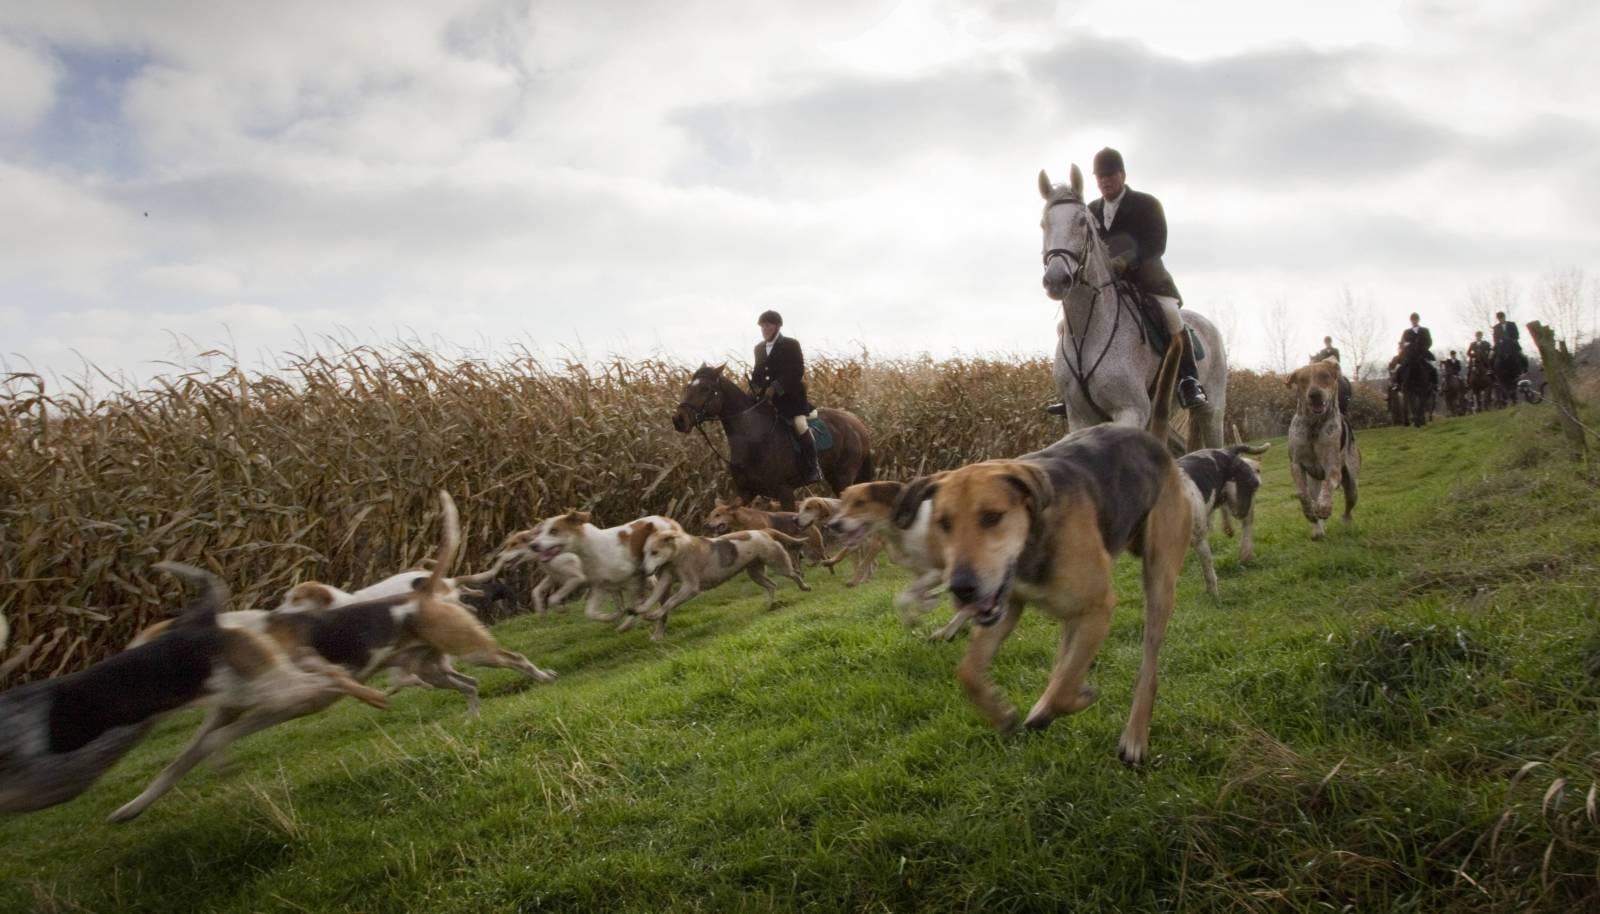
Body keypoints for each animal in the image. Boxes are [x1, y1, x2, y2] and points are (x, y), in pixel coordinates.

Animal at [672, 363, 876, 509]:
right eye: (688, 387)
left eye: (705, 388)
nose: (678, 419)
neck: (754, 439)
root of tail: (858, 424)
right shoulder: (745, 492)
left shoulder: (784, 492)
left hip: (843, 478)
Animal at [1036, 166, 1222, 451]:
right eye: (1043, 224)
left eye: (1082, 222)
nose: (1056, 280)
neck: (1087, 332)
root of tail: (1206, 323)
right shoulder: (1079, 417)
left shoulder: (1132, 410)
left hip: (1212, 409)